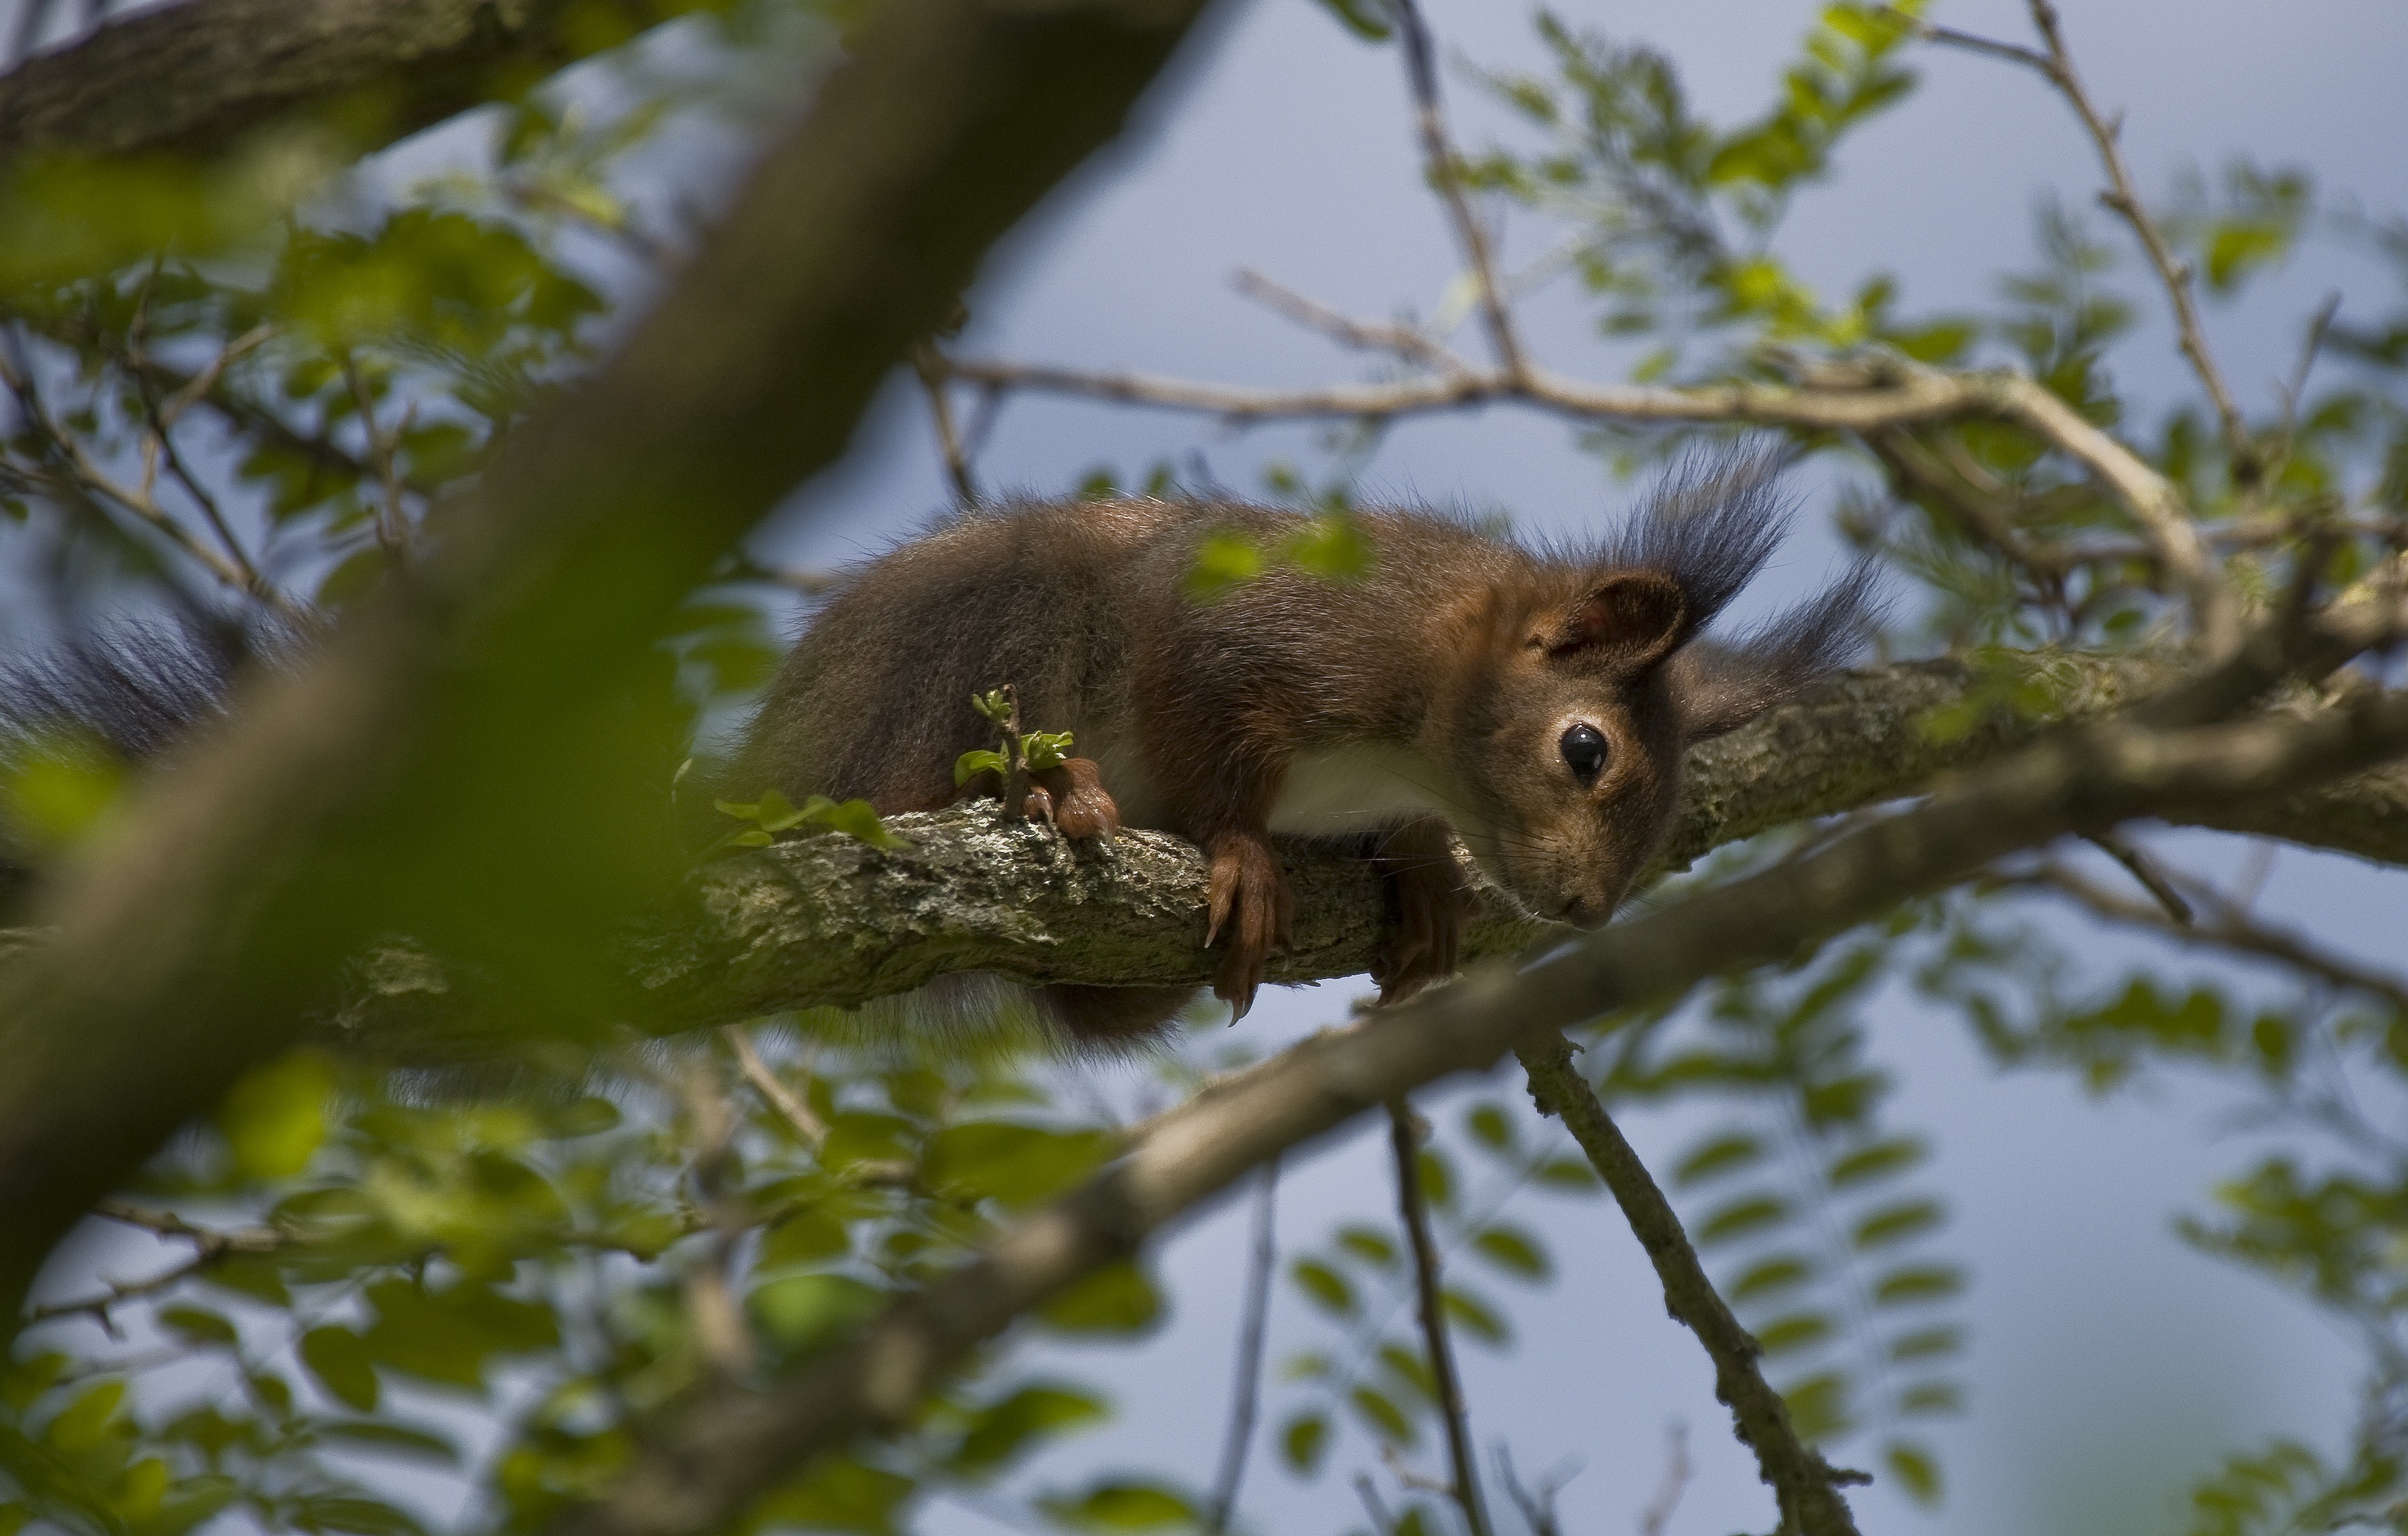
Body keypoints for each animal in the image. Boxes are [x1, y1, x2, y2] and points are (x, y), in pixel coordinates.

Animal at [736, 450, 1875, 1047]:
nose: (1585, 908)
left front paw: (1422, 870)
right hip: (987, 634)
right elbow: (1203, 741)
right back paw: (1052, 788)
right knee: (912, 784)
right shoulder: (1257, 633)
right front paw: (1242, 851)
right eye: (1586, 749)